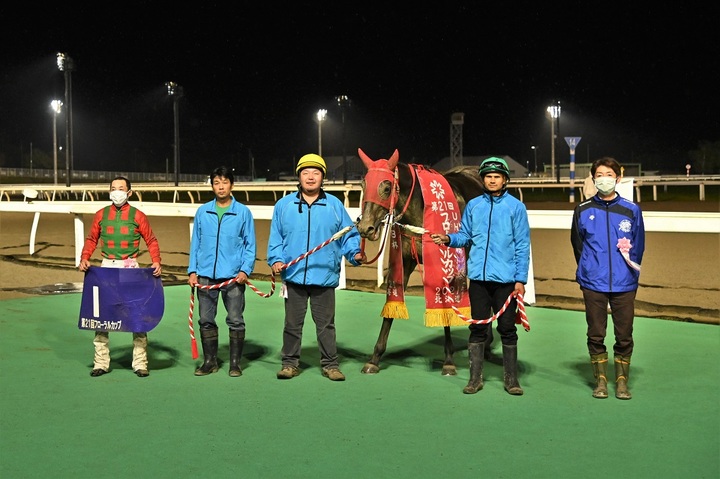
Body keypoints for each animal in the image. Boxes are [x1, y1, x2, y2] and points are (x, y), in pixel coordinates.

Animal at [355, 148, 488, 375]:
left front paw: (449, 360)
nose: (366, 228)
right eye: (363, 185)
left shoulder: (444, 264)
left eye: (387, 187)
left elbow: (444, 308)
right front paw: (375, 358)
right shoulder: (404, 262)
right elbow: (392, 304)